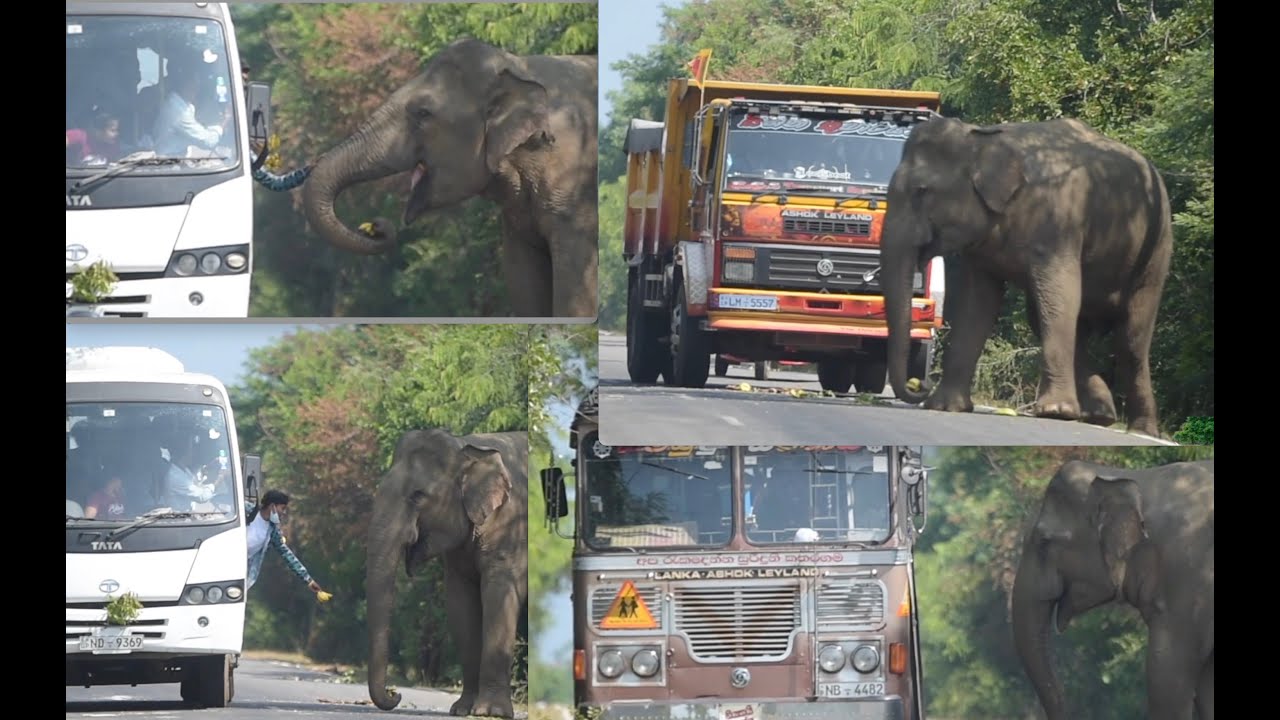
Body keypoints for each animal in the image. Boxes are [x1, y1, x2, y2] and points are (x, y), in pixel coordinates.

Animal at [302, 38, 598, 318]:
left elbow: (575, 290)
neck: (517, 66)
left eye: (423, 113)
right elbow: (524, 282)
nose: (374, 226)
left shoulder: (574, 197)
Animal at [365, 429, 528, 717]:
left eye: (418, 495)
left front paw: (490, 713)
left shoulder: (511, 526)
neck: (467, 448)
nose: (396, 693)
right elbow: (461, 603)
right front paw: (462, 710)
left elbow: (500, 597)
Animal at [881, 116, 1173, 436]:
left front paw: (1055, 412)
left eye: (921, 191)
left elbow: (1061, 297)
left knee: (1131, 339)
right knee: (1059, 323)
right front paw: (945, 407)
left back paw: (1140, 431)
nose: (919, 385)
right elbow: (976, 305)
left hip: (1156, 248)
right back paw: (1101, 414)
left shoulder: (1058, 224)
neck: (984, 138)